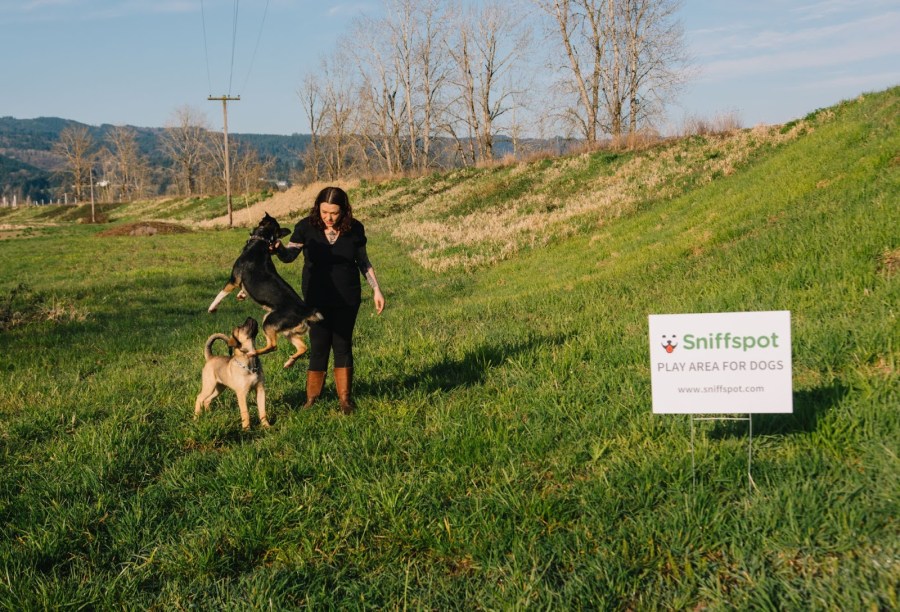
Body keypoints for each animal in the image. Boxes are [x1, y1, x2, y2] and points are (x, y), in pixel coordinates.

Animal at [208, 213, 324, 368]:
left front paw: (212, 307)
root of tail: (305, 310)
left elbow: (221, 294)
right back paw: (289, 362)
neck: (260, 242)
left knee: (273, 346)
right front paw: (241, 295)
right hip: (287, 331)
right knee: (302, 347)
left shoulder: (234, 280)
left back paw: (252, 353)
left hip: (268, 321)